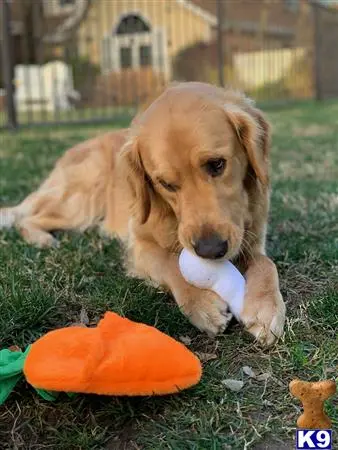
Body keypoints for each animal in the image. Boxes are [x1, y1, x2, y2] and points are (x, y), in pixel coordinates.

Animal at [0, 82, 286, 346]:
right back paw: (43, 239)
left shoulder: (251, 240)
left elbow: (266, 264)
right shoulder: (140, 244)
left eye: (217, 164)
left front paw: (265, 306)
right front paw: (201, 301)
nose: (210, 249)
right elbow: (172, 264)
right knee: (27, 217)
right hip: (83, 203)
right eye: (166, 184)